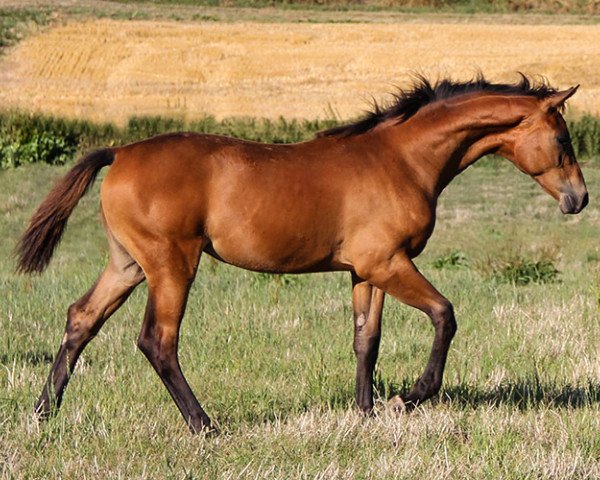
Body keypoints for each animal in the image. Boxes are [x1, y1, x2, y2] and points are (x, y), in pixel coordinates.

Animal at [17, 76, 584, 436]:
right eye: (562, 139)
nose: (579, 199)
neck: (402, 160)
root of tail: (120, 153)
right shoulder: (390, 264)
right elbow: (445, 315)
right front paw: (409, 397)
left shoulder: (367, 271)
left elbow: (366, 341)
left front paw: (366, 414)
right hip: (171, 265)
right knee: (158, 341)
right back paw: (205, 426)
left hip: (128, 264)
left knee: (81, 319)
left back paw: (42, 415)